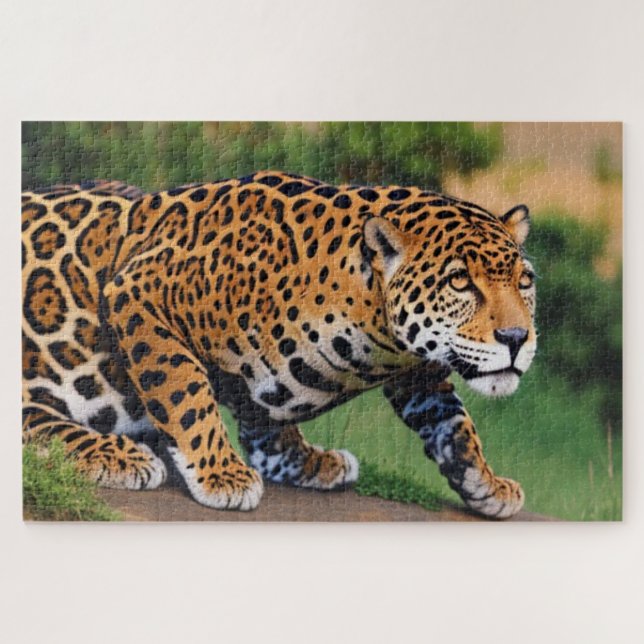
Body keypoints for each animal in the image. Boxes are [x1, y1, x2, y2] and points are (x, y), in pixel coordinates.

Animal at [22, 171, 536, 518]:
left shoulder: (416, 365)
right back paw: (118, 454)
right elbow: (185, 392)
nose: (516, 339)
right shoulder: (138, 290)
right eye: (459, 282)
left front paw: (485, 483)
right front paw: (221, 473)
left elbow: (452, 422)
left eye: (524, 281)